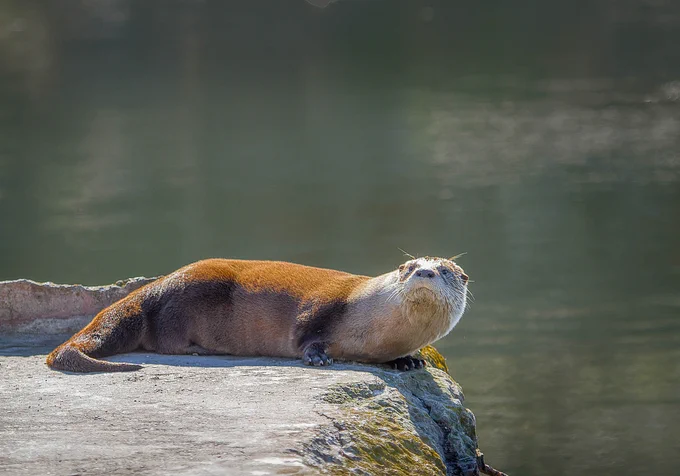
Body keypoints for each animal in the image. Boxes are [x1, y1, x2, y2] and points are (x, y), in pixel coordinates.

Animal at [46, 257, 469, 373]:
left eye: (446, 270)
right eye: (408, 267)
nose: (425, 272)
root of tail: (159, 283)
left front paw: (407, 361)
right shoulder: (326, 305)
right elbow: (306, 332)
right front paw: (318, 357)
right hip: (183, 298)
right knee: (165, 337)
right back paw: (199, 350)